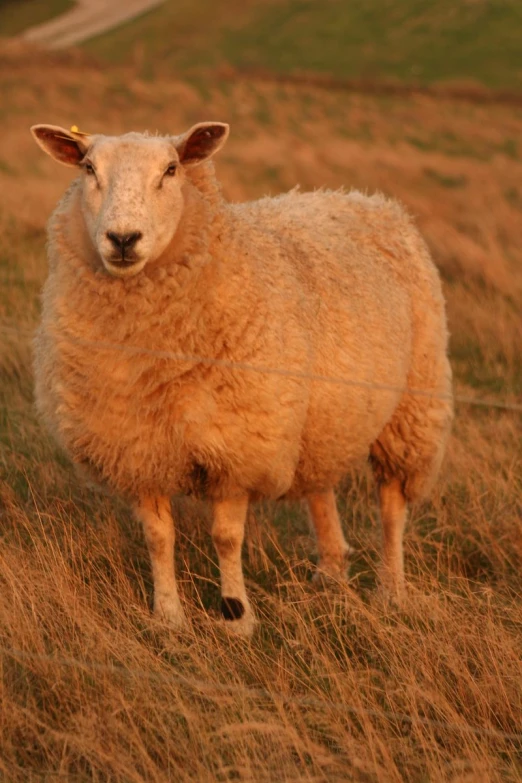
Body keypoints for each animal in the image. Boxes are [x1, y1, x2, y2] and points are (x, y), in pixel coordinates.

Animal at [30, 121, 450, 636]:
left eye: (171, 170)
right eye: (88, 168)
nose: (123, 238)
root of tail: (366, 198)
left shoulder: (238, 444)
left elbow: (226, 537)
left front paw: (237, 617)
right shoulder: (138, 446)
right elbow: (157, 537)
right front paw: (168, 618)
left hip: (413, 404)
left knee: (392, 506)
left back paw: (391, 589)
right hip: (317, 419)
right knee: (320, 486)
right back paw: (331, 573)